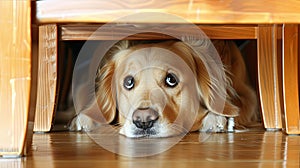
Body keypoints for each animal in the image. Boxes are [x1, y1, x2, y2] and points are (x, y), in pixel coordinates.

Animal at [69, 39, 258, 138]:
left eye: (171, 79)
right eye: (128, 82)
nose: (143, 120)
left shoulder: (247, 96)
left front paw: (216, 117)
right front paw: (85, 118)